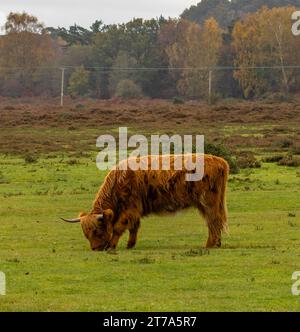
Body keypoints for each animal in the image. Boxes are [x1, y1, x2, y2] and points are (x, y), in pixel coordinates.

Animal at [61, 154, 230, 250]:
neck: (118, 181)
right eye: (86, 233)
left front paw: (112, 246)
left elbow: (118, 227)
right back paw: (217, 243)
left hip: (208, 201)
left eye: (97, 230)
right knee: (214, 221)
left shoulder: (130, 208)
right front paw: (130, 245)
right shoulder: (134, 211)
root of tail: (220, 161)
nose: (95, 248)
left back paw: (210, 244)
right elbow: (134, 228)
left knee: (213, 220)